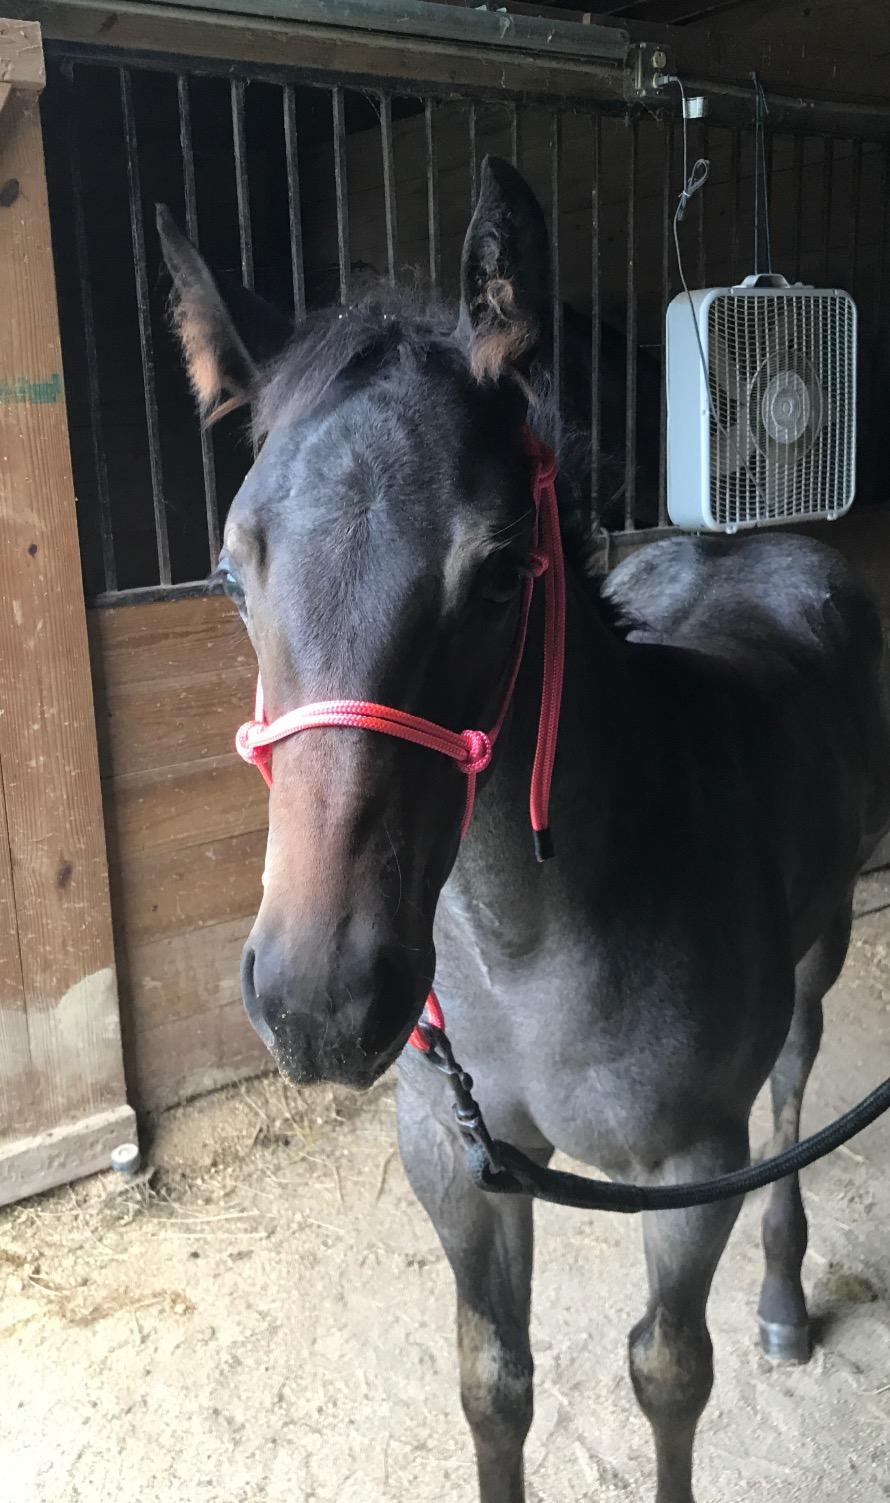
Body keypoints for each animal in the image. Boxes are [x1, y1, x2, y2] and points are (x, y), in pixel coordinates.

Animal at [157, 156, 890, 1503]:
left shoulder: (687, 1175)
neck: (530, 940)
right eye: (233, 574)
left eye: (499, 572)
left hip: (817, 959)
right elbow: (492, 1381)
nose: (316, 1003)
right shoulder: (454, 1160)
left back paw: (780, 1293)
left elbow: (668, 1372)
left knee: (793, 1089)